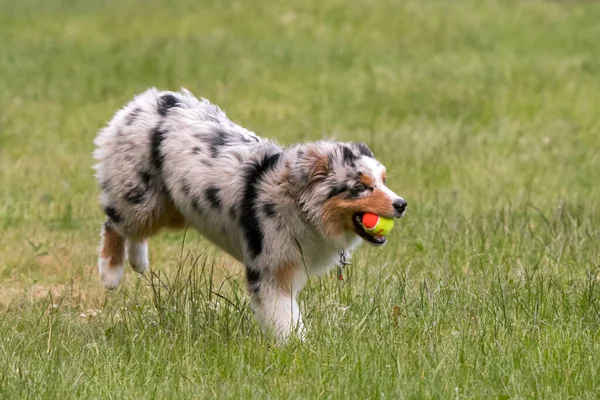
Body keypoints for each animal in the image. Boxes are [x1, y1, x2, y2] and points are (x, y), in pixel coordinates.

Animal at [91, 89, 406, 342]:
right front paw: (299, 348)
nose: (402, 204)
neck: (300, 205)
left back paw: (138, 262)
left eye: (383, 181)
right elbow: (284, 317)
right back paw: (110, 274)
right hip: (141, 198)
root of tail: (149, 99)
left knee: (135, 231)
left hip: (174, 206)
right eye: (361, 187)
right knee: (113, 223)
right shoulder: (269, 270)